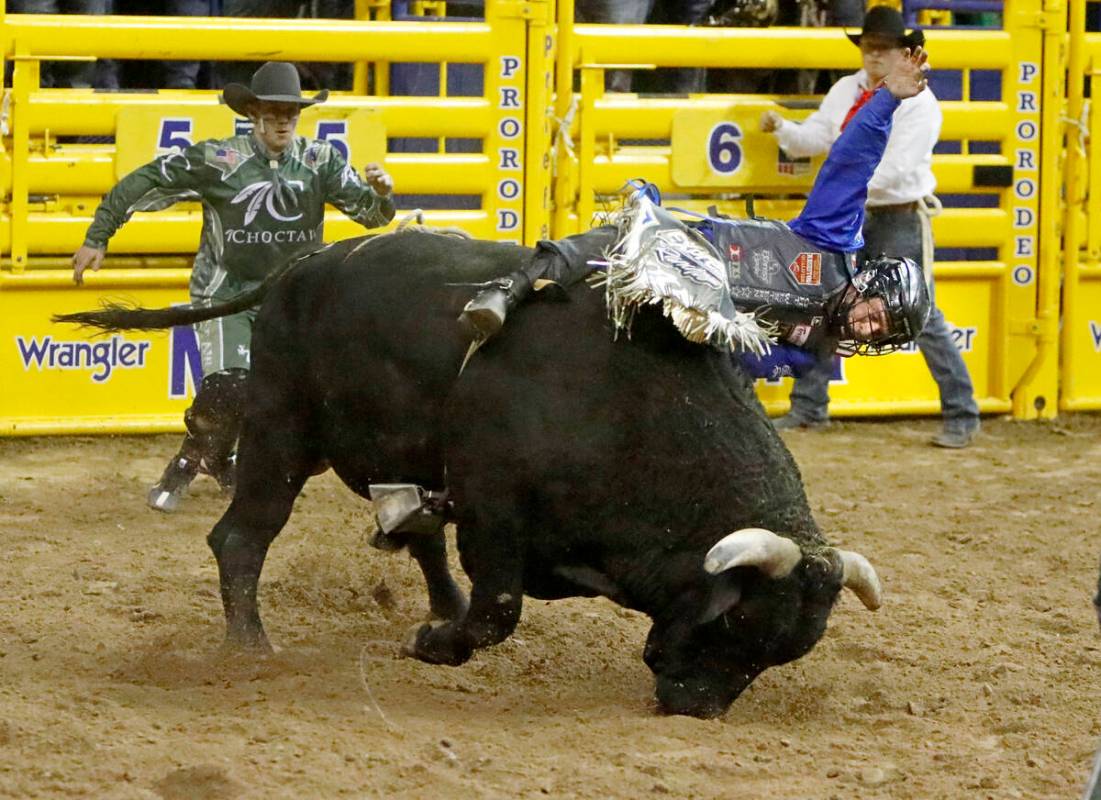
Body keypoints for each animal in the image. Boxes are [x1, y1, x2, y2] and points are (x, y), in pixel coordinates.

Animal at [62, 231, 885, 721]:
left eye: (781, 650)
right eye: (737, 621)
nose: (697, 709)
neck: (627, 401)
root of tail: (302, 269)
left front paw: (437, 625)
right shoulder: (494, 513)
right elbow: (497, 610)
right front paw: (434, 644)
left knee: (413, 531)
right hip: (280, 434)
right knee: (240, 536)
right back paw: (251, 649)